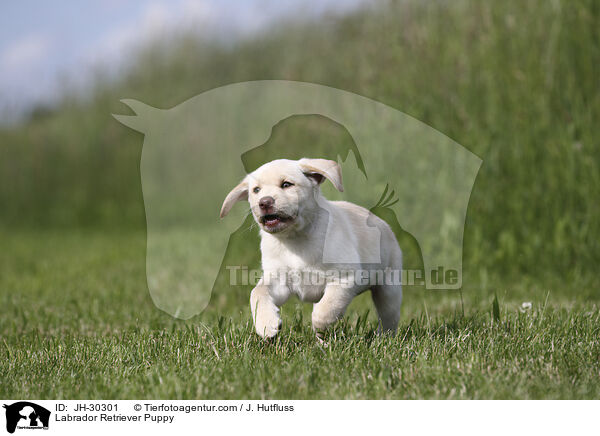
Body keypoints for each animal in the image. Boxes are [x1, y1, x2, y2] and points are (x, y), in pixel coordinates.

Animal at [221, 158, 404, 338]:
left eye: (286, 184)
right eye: (256, 190)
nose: (264, 202)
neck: (295, 239)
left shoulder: (345, 277)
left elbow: (327, 308)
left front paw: (320, 326)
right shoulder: (278, 279)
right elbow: (257, 293)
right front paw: (266, 324)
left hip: (389, 288)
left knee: (388, 318)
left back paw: (384, 338)